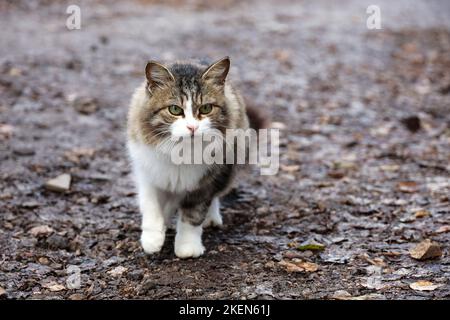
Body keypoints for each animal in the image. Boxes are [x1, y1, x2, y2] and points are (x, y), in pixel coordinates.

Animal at [125, 57, 264, 258]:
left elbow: (193, 215)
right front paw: (152, 239)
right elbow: (150, 205)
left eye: (206, 108)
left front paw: (187, 247)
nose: (192, 127)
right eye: (175, 109)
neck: (180, 151)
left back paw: (211, 218)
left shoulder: (205, 181)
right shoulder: (148, 172)